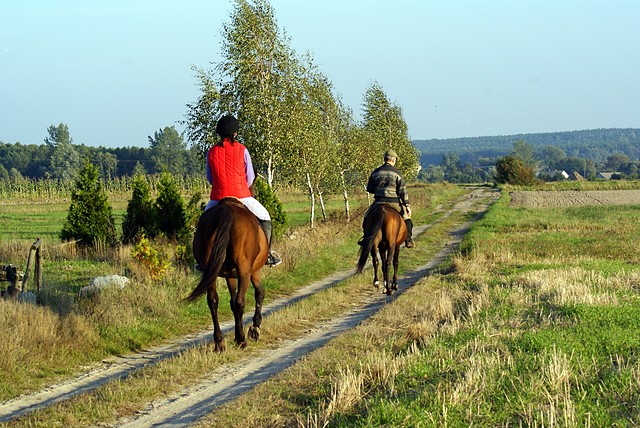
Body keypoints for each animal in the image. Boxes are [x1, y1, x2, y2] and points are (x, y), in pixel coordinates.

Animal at [185, 197, 268, 352]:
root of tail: (226, 209)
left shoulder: (230, 275)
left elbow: (232, 302)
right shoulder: (254, 271)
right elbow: (259, 293)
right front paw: (255, 328)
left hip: (209, 271)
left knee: (213, 301)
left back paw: (219, 342)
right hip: (244, 271)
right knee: (241, 301)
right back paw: (242, 340)